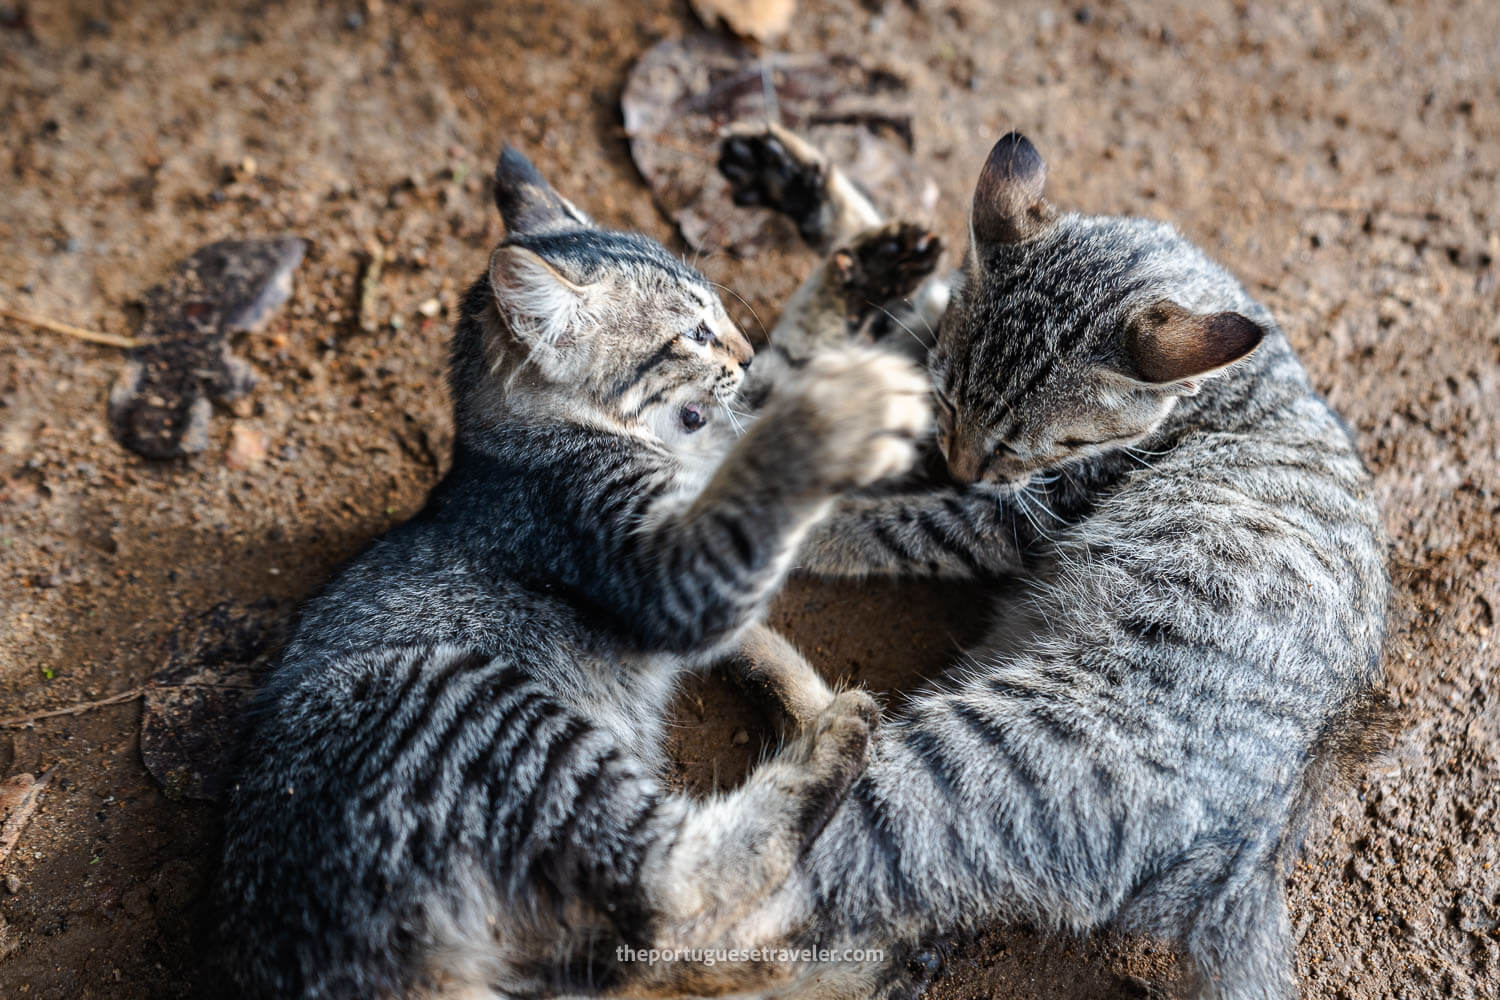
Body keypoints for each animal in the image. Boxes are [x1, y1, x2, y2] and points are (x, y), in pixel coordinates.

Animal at [216, 144, 930, 1000]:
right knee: (676, 900)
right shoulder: (661, 569)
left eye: (721, 319)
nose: (741, 350)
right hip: (480, 709)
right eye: (694, 332)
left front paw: (861, 268)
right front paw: (839, 410)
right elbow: (765, 478)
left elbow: (771, 419)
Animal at [708, 127, 1386, 1000]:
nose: (958, 463)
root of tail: (1251, 857)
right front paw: (822, 200)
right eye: (951, 399)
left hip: (978, 756)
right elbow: (907, 283)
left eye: (1024, 447)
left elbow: (883, 524)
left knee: (717, 905)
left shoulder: (1006, 514)